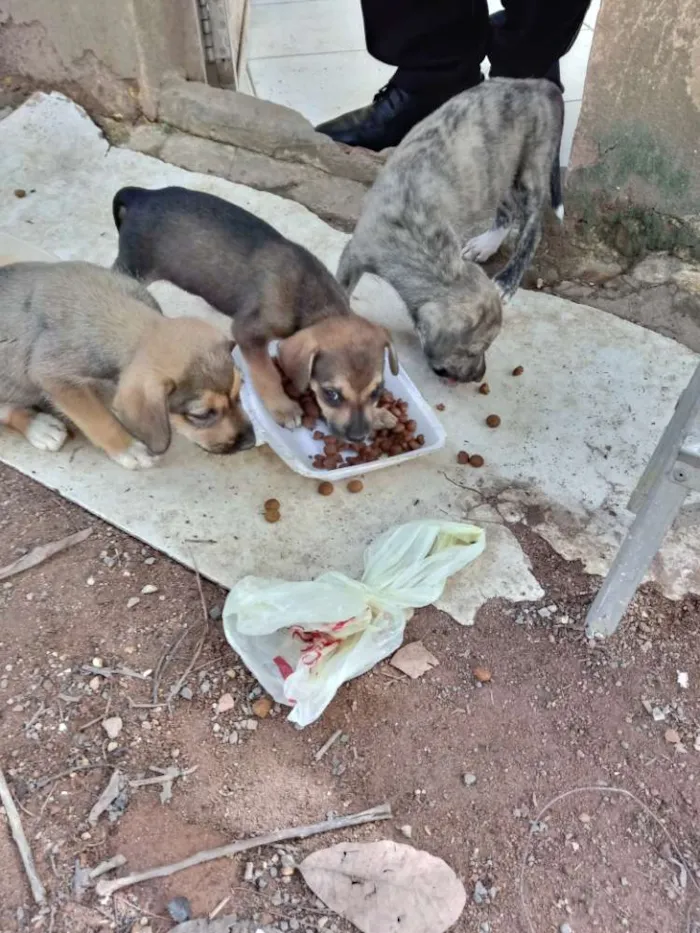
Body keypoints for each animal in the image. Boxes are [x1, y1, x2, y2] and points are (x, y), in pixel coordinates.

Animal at [0, 260, 254, 466]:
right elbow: (98, 418)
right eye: (201, 415)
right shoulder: (54, 375)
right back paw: (40, 428)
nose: (250, 443)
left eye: (238, 393)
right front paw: (128, 448)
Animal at [114, 187, 400, 444]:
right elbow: (267, 374)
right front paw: (283, 407)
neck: (313, 301)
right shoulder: (248, 333)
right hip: (133, 268)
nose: (359, 437)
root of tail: (142, 195)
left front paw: (379, 415)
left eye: (378, 391)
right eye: (332, 394)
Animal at [338, 77, 564, 382]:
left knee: (532, 225)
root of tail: (540, 84)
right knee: (512, 215)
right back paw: (489, 252)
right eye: (474, 350)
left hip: (531, 166)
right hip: (500, 172)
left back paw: (507, 279)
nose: (480, 375)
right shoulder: (356, 252)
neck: (416, 232)